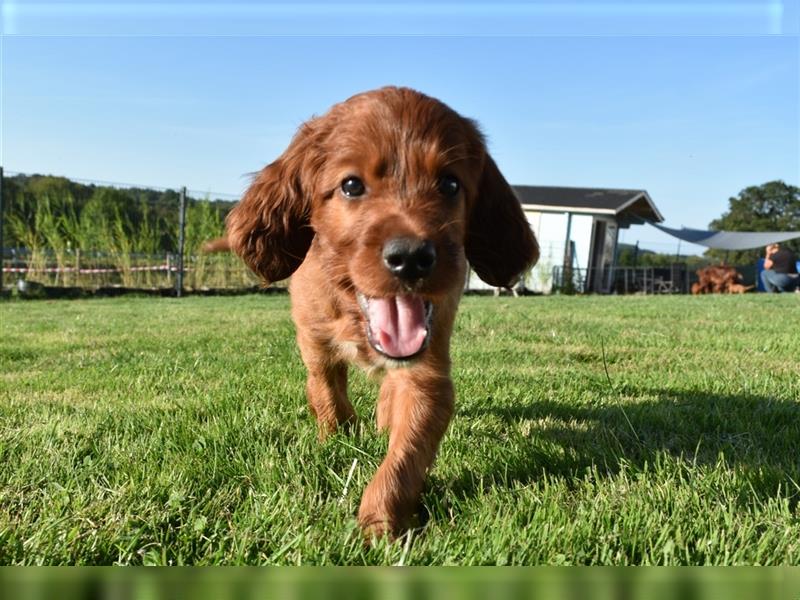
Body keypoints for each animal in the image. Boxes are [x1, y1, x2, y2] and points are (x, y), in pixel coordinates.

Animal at [222, 86, 540, 536]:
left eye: (450, 184)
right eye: (352, 185)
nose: (411, 258)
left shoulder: (426, 371)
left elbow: (406, 454)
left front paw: (379, 523)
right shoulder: (315, 342)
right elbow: (326, 392)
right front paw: (336, 438)